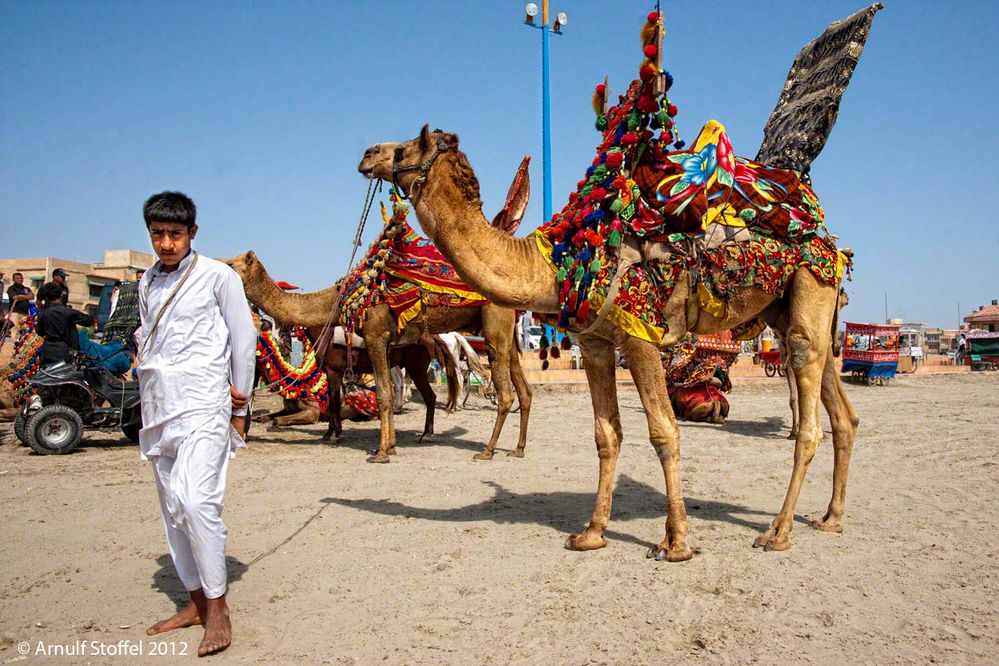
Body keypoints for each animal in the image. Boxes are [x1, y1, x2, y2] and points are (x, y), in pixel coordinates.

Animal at [362, 6, 884, 556]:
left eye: (408, 147)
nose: (368, 153)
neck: (560, 260)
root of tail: (829, 239)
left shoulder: (640, 335)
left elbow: (663, 431)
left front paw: (676, 542)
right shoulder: (594, 343)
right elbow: (605, 434)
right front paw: (591, 532)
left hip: (810, 292)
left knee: (810, 420)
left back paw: (779, 531)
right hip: (789, 313)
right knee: (842, 413)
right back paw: (830, 517)